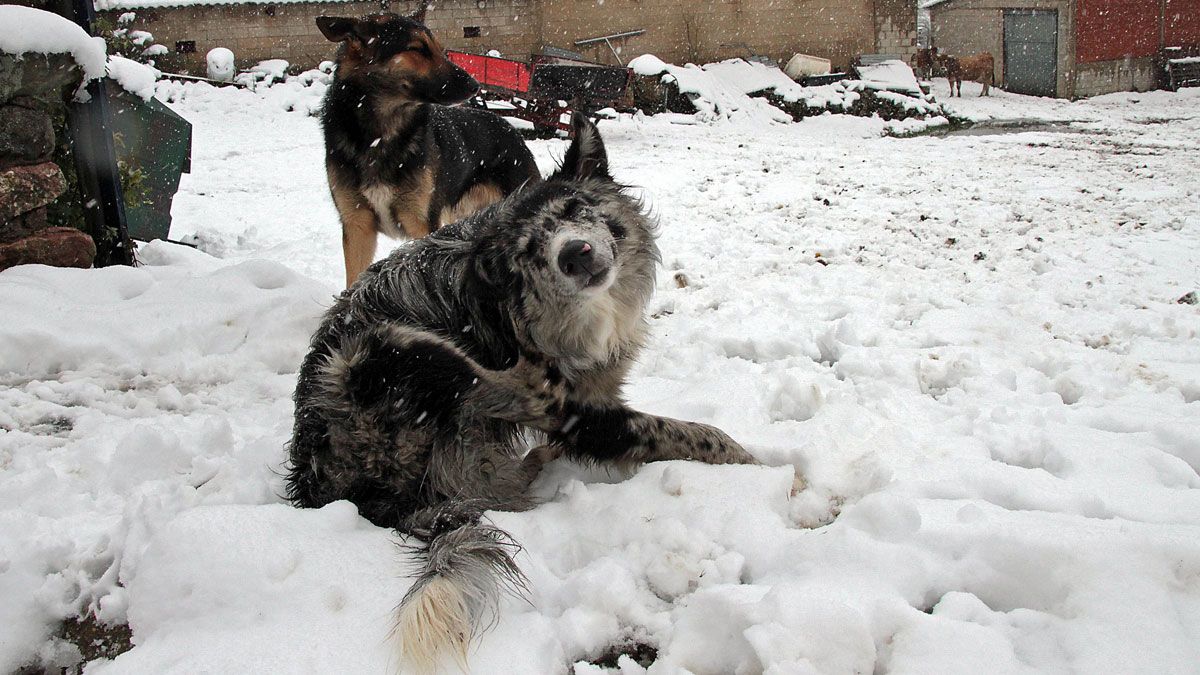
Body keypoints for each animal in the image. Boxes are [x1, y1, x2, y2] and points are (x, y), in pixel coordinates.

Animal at [285, 115, 753, 667]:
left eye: (575, 208)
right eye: (530, 250)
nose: (575, 253)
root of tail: (339, 490)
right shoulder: (586, 413)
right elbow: (694, 433)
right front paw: (757, 464)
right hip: (378, 352)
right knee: (514, 396)